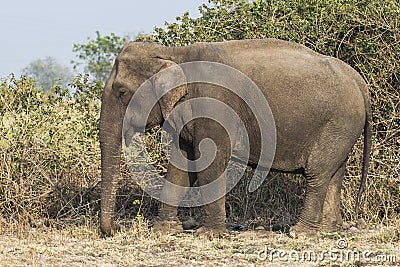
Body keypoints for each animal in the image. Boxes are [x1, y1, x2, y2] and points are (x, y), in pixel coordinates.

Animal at [99, 38, 372, 238]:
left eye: (122, 92)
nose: (116, 228)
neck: (173, 53)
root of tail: (360, 82)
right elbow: (181, 164)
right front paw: (165, 230)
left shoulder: (213, 106)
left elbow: (209, 162)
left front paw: (208, 234)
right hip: (342, 129)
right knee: (334, 173)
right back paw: (328, 230)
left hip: (338, 123)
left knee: (317, 173)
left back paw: (300, 233)